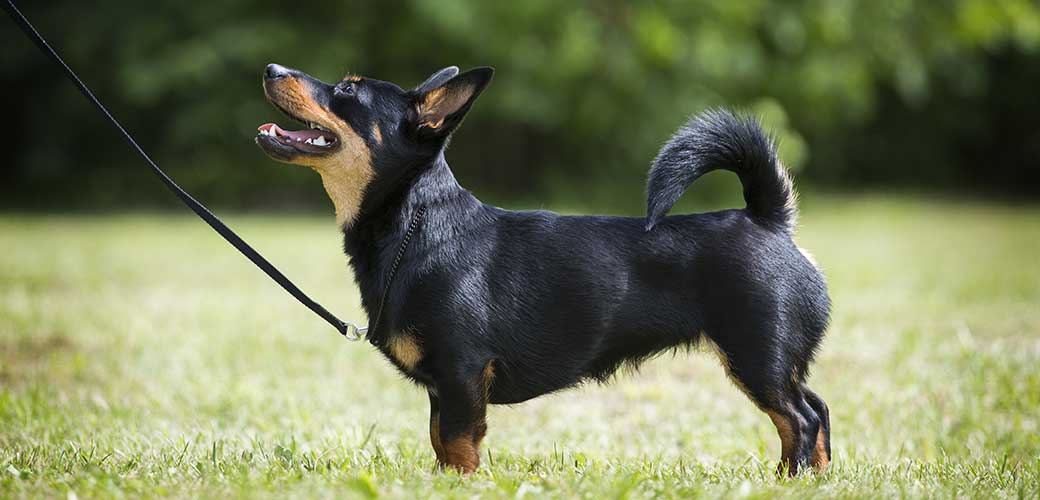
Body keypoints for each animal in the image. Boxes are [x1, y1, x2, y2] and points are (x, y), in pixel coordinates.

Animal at [255, 64, 832, 474]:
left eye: (347, 93)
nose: (271, 67)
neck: (415, 224)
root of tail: (766, 217)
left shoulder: (462, 375)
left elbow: (458, 447)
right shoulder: (444, 389)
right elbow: (441, 441)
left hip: (757, 358)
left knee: (799, 420)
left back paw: (790, 479)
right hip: (773, 364)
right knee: (817, 411)